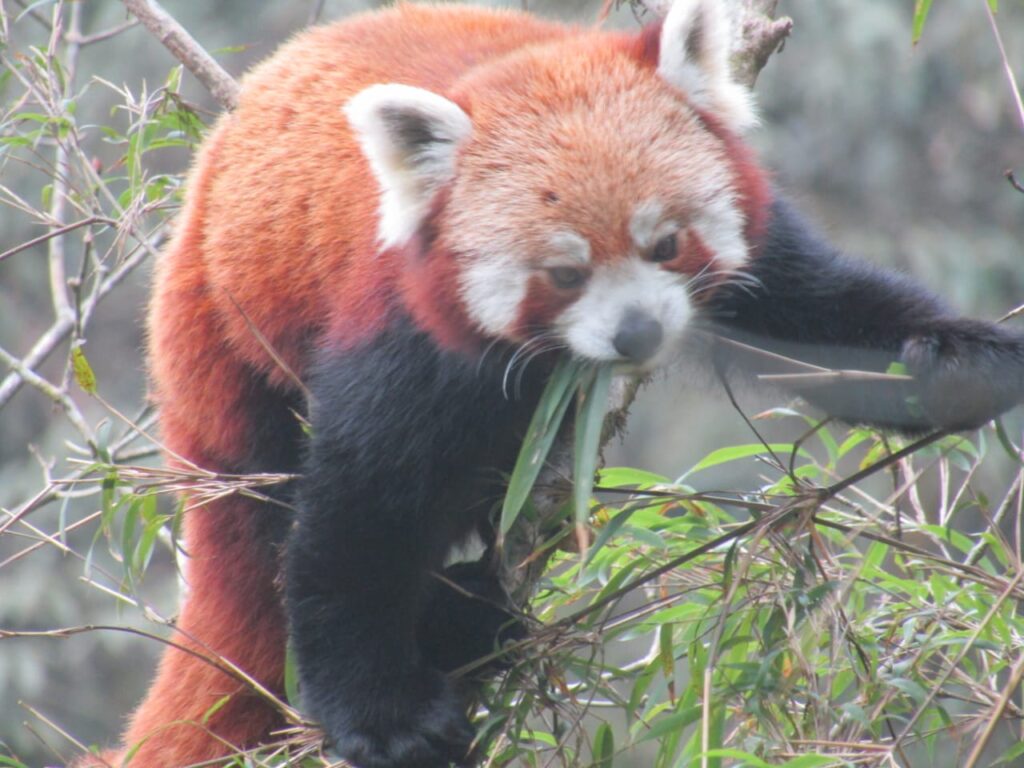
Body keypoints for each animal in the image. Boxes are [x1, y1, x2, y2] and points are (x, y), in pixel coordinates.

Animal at [86, 1, 1024, 768]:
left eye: (666, 244)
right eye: (564, 274)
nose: (637, 333)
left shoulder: (758, 256)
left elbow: (823, 317)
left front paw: (955, 362)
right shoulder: (400, 319)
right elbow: (362, 510)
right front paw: (383, 715)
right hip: (226, 354)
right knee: (262, 523)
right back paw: (454, 618)